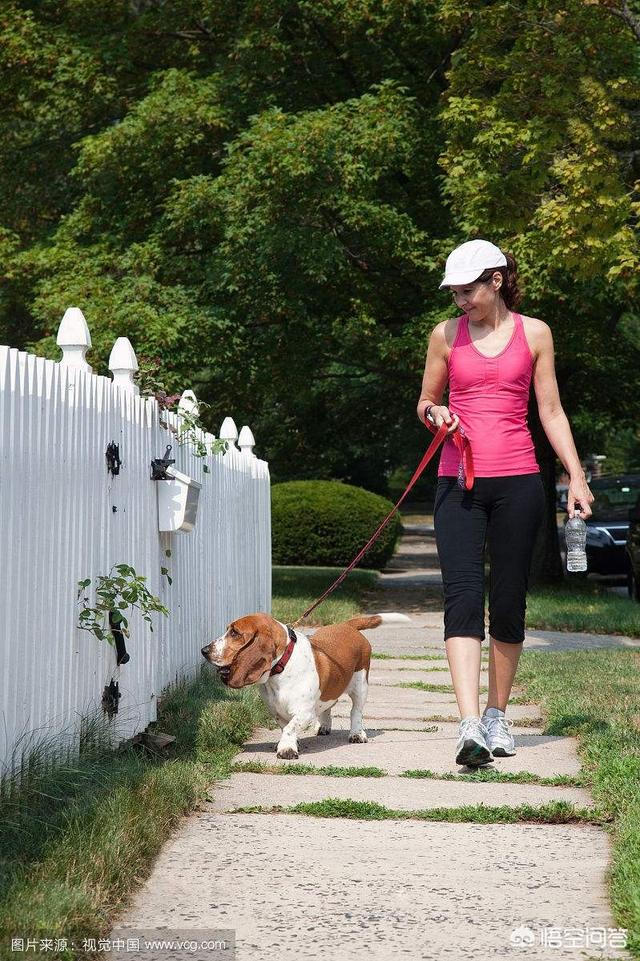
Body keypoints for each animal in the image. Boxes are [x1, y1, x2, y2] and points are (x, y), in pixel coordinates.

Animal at [199, 616, 410, 756]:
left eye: (235, 633)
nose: (204, 650)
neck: (281, 668)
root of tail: (348, 625)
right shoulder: (277, 712)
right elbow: (285, 727)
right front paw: (289, 743)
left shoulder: (305, 712)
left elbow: (291, 726)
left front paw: (286, 748)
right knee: (328, 706)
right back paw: (324, 727)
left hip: (360, 685)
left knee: (356, 711)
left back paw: (357, 734)